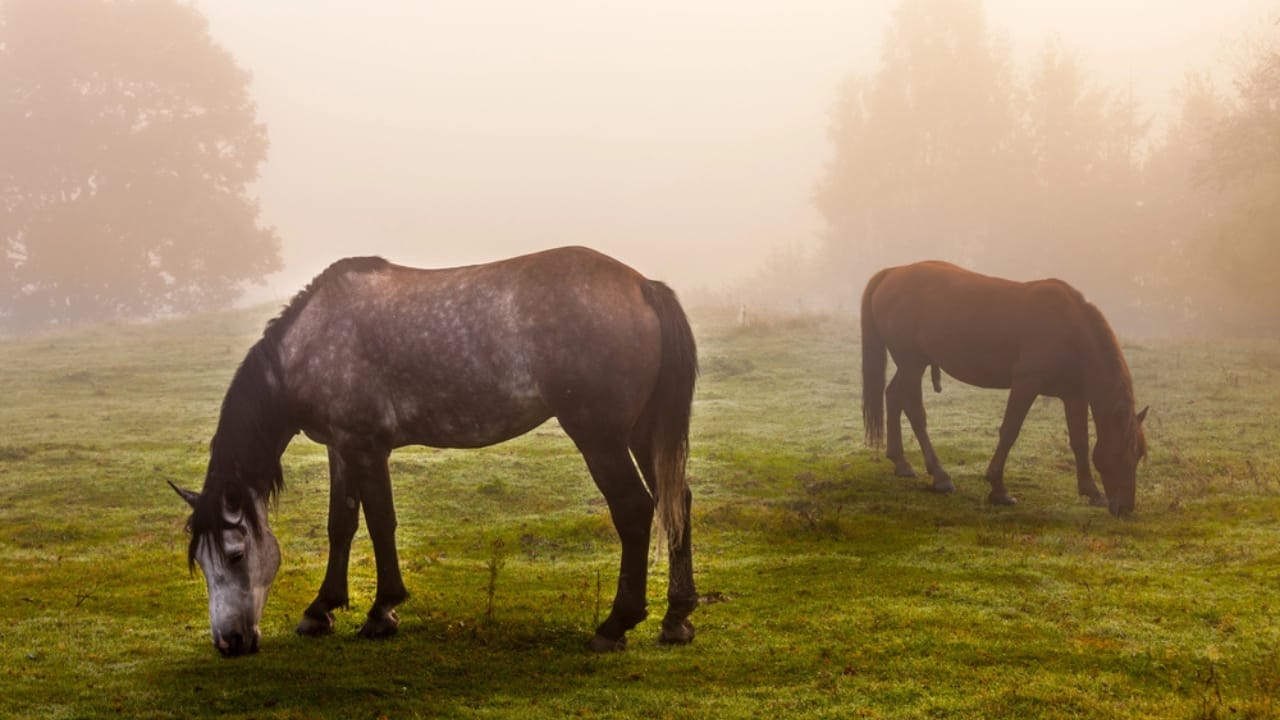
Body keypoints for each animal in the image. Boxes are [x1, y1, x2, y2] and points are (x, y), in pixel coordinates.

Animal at [170, 246, 699, 656]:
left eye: (236, 555)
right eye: (201, 562)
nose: (229, 642)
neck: (311, 342)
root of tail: (642, 286)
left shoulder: (367, 447)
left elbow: (380, 523)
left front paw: (382, 611)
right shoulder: (342, 448)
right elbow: (341, 525)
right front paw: (321, 610)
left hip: (599, 436)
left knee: (634, 509)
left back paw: (616, 624)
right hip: (642, 433)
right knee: (676, 502)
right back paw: (676, 617)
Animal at [860, 261, 1147, 516]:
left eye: (1139, 454)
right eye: (1127, 450)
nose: (1126, 508)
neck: (1072, 331)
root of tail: (892, 273)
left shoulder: (1074, 395)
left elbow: (1080, 442)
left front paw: (1092, 491)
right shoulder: (1026, 384)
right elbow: (1009, 432)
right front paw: (998, 488)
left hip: (912, 365)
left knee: (893, 396)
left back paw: (901, 463)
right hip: (912, 363)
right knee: (915, 412)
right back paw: (940, 476)